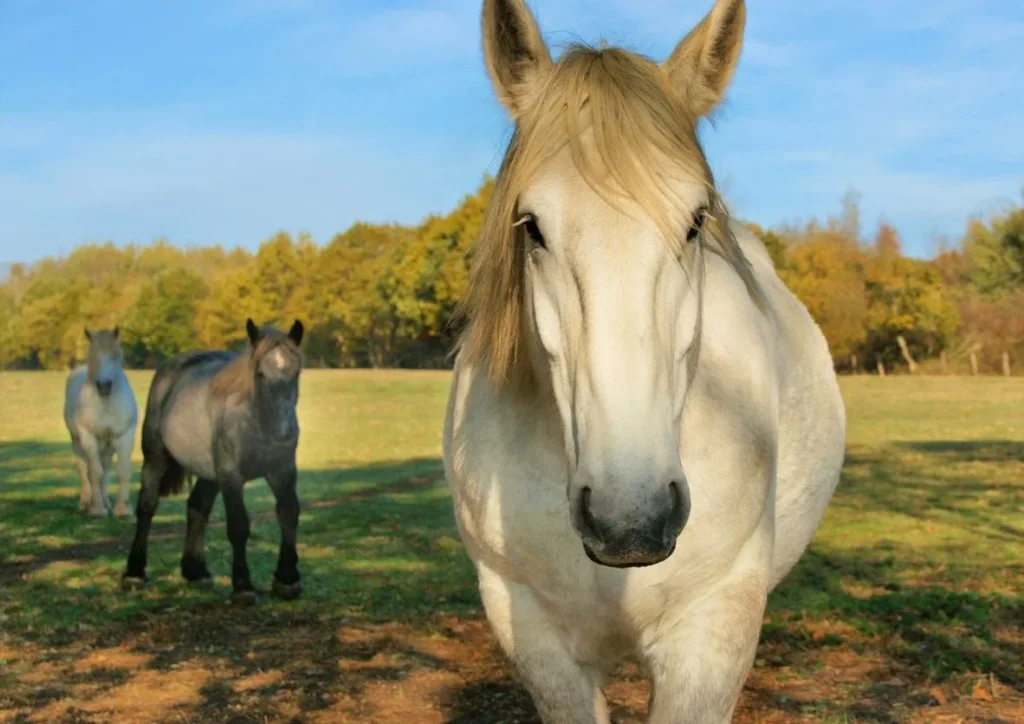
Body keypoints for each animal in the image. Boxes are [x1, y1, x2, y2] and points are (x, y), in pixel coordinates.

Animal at [63, 325, 138, 518]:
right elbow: (94, 473)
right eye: (93, 357)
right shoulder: (88, 437)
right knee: (84, 469)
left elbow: (122, 470)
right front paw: (96, 509)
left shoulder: (124, 436)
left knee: (106, 468)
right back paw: (85, 503)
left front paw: (123, 509)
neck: (106, 404)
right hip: (77, 441)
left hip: (108, 445)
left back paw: (106, 502)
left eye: (115, 356)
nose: (104, 386)